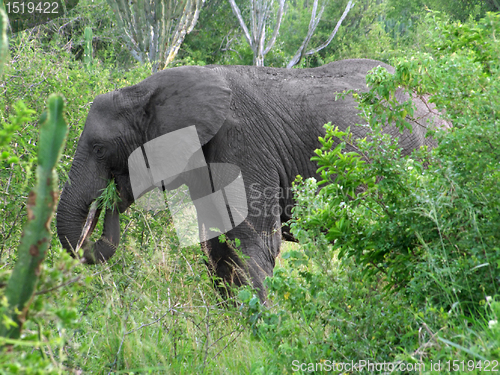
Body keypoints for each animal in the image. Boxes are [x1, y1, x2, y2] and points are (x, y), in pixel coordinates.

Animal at [56, 60, 444, 304]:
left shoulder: (242, 144)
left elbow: (249, 240)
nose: (108, 198)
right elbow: (216, 245)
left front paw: (263, 330)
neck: (143, 90)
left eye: (100, 148)